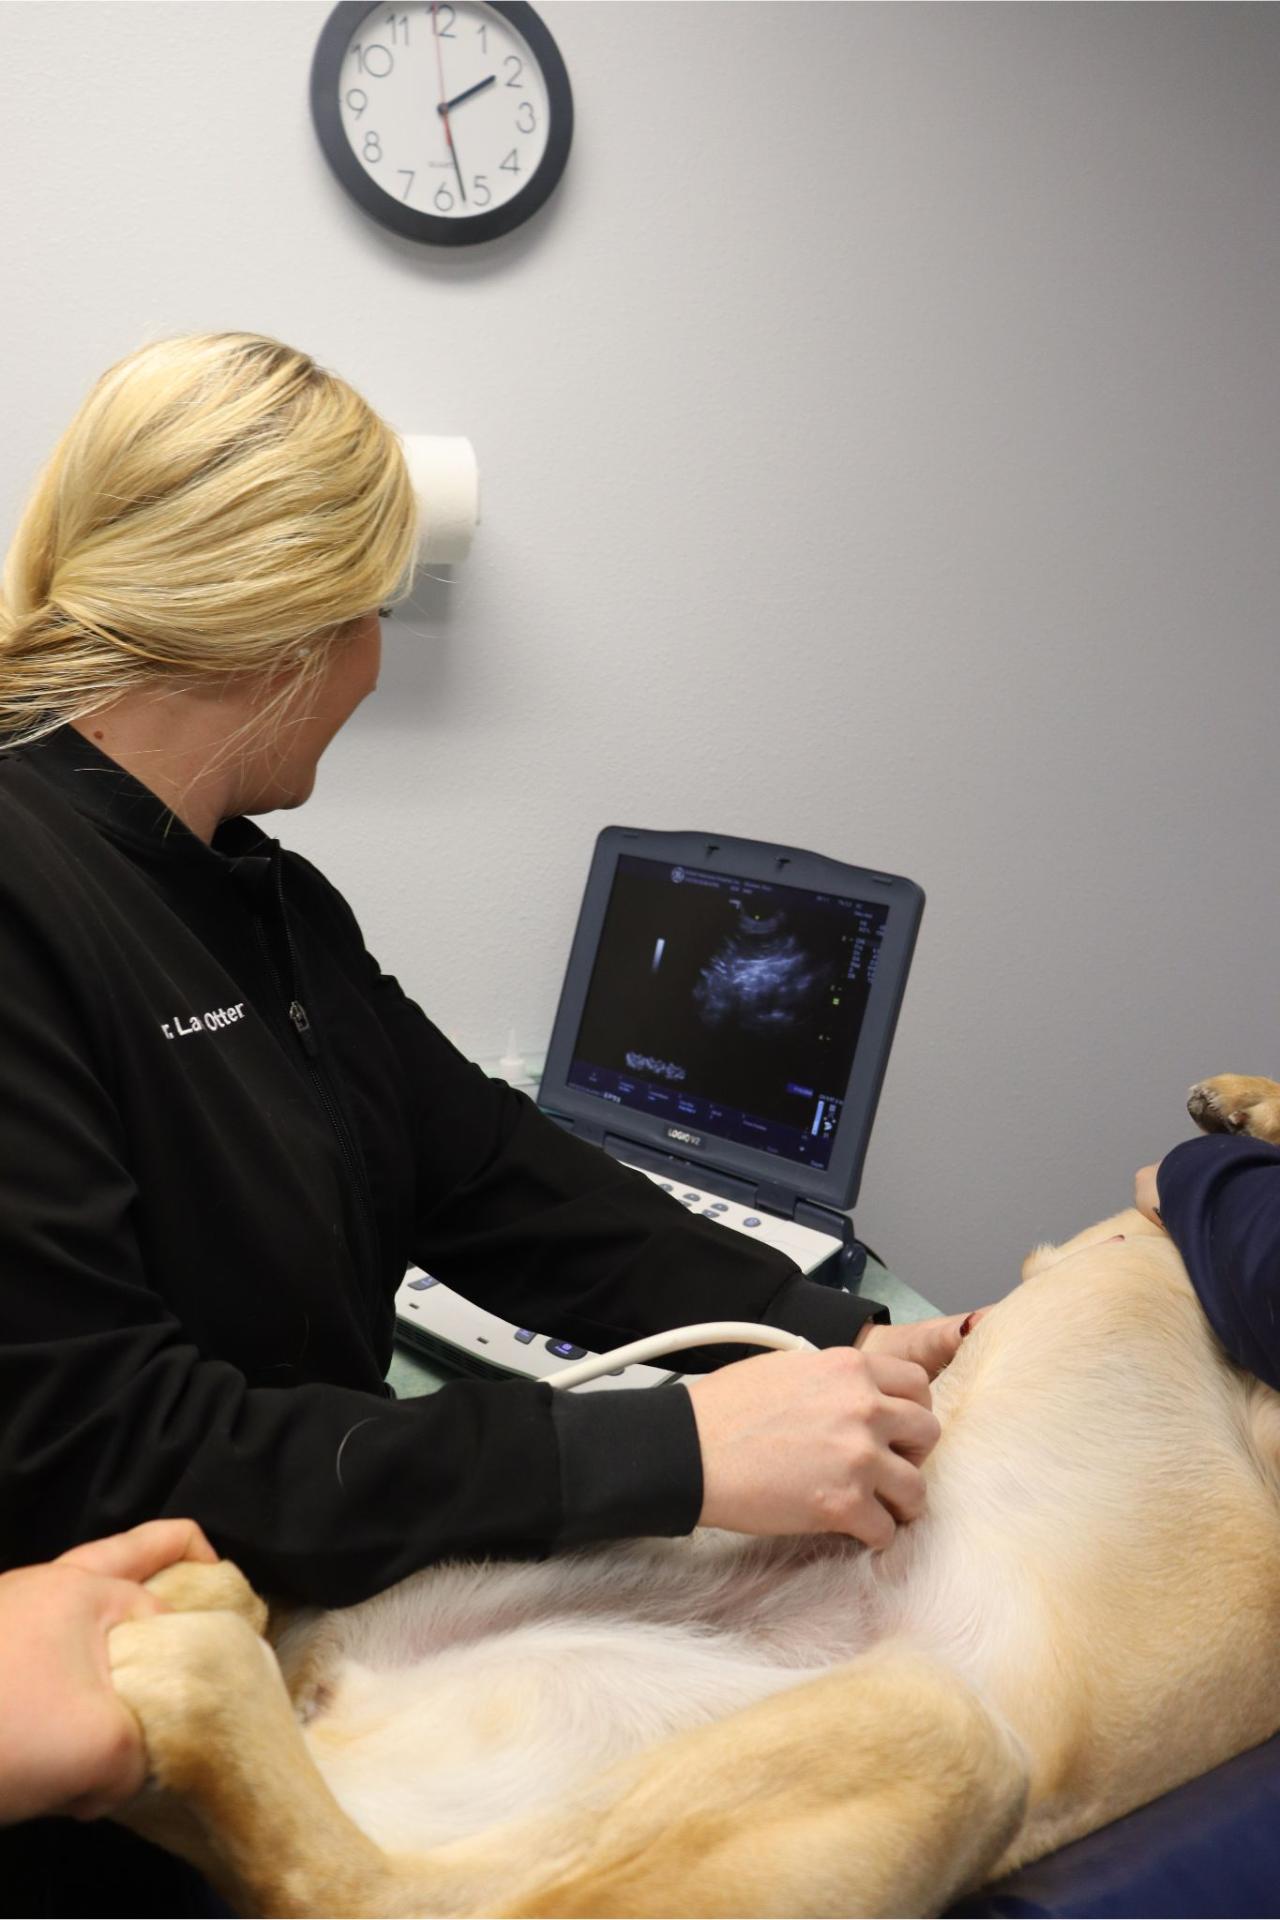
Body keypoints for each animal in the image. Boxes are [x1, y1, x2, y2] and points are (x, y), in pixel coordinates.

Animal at [105, 1082, 1280, 1920]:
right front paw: (1235, 1103)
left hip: (925, 1728)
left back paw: (192, 1642)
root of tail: (337, 1718)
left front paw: (1229, 1109)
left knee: (354, 1888)